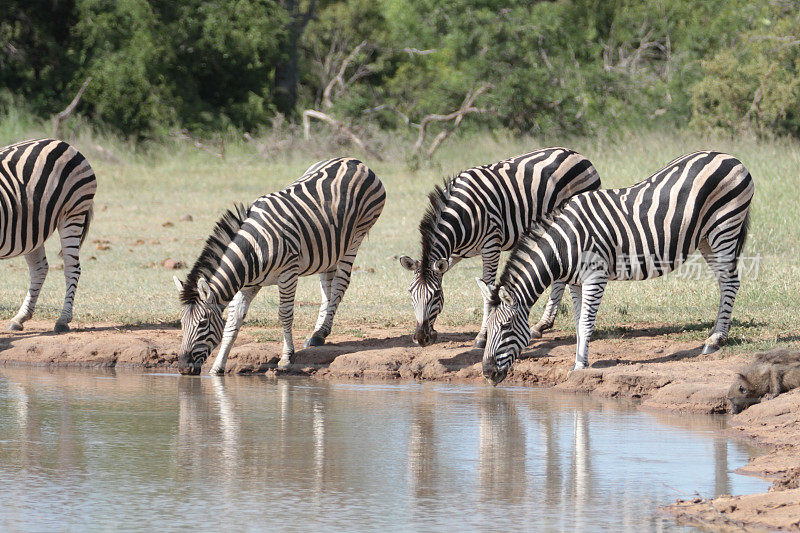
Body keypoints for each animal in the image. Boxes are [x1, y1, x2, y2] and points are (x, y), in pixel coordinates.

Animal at [0, 139, 95, 334]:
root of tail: (63, 144)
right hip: (31, 230)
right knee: (39, 269)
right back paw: (20, 318)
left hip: (73, 214)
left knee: (72, 268)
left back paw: (63, 320)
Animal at [173, 158, 386, 374]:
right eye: (181, 323)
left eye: (202, 323)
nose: (183, 368)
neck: (253, 250)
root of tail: (354, 161)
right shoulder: (248, 285)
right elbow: (233, 321)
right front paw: (218, 367)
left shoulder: (288, 273)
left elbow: (285, 314)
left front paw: (286, 358)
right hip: (330, 247)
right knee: (327, 287)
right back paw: (318, 334)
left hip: (356, 238)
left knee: (340, 285)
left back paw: (320, 333)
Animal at [400, 149, 600, 350]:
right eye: (410, 292)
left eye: (436, 295)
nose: (421, 338)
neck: (462, 213)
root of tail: (576, 154)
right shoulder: (453, 254)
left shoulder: (491, 245)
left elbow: (487, 292)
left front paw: (482, 336)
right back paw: (542, 325)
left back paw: (543, 324)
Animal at [478, 152, 752, 384]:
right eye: (488, 329)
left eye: (505, 327)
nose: (487, 373)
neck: (564, 242)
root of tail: (730, 157)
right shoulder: (576, 282)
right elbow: (578, 322)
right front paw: (581, 360)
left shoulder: (595, 277)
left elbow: (586, 323)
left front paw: (579, 366)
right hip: (705, 238)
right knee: (724, 282)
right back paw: (716, 333)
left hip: (724, 227)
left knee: (730, 282)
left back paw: (715, 340)